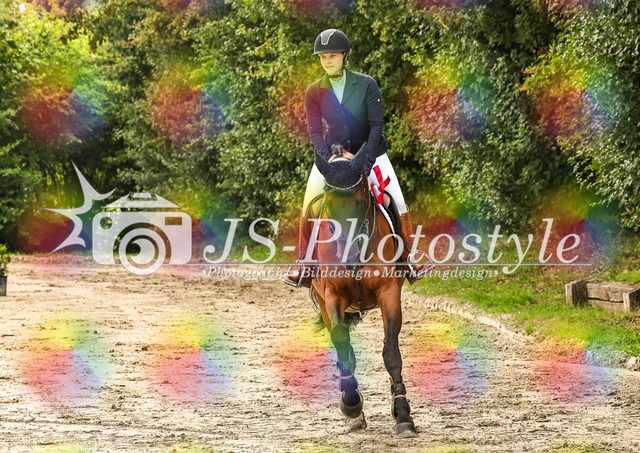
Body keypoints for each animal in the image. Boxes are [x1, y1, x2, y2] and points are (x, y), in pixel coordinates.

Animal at [307, 144, 418, 438]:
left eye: (360, 202)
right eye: (328, 205)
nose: (347, 256)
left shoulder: (389, 293)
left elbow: (391, 353)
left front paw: (403, 415)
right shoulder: (332, 296)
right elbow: (343, 347)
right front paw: (351, 405)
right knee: (341, 346)